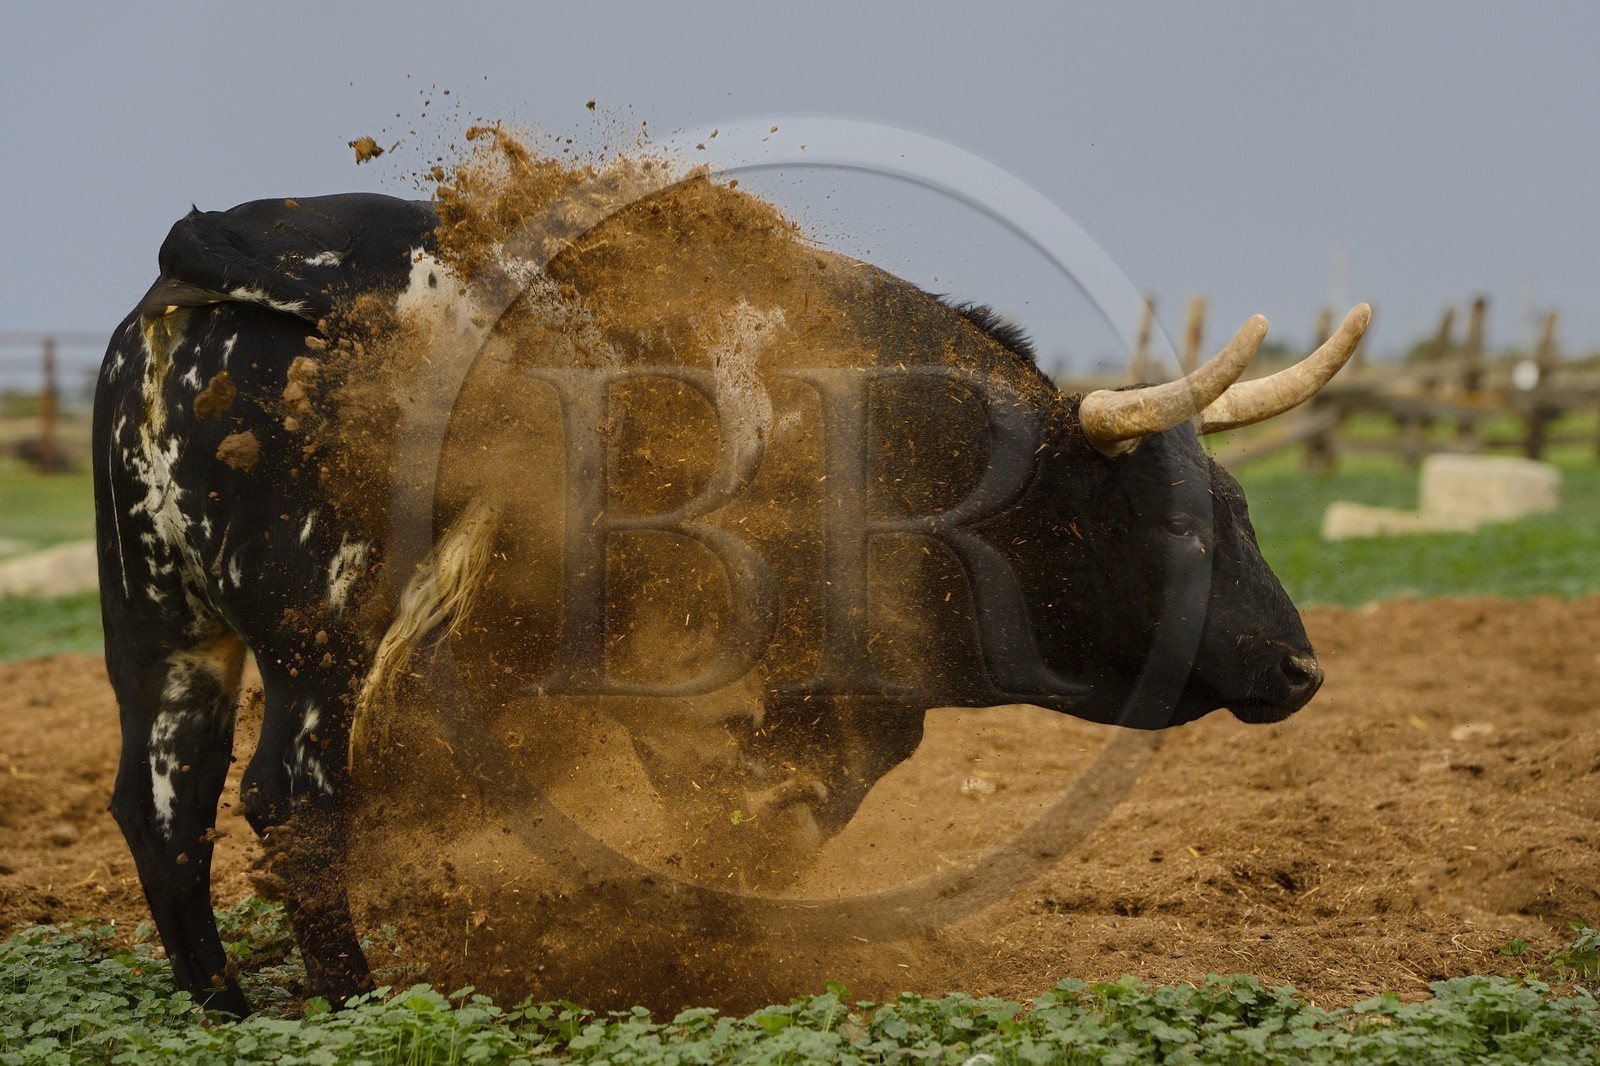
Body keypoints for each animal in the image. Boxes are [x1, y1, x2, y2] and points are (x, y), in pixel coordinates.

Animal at [95, 184, 1367, 1016]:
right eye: (1182, 525)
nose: (1300, 668)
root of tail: (230, 241)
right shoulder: (783, 696)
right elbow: (774, 817)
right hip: (325, 628)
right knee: (290, 797)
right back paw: (357, 998)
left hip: (163, 629)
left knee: (162, 805)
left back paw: (226, 1002)